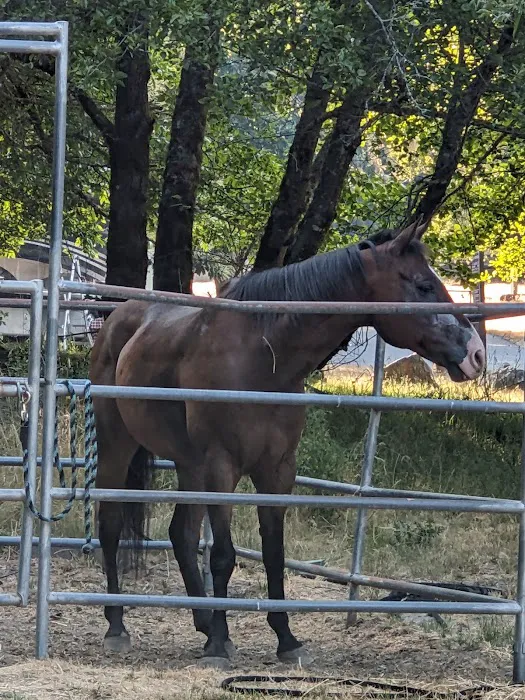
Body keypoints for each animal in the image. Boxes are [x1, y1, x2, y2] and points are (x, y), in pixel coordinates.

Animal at [89, 220, 486, 667]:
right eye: (423, 285)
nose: (476, 354)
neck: (262, 355)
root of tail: (118, 319)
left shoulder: (277, 469)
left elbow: (274, 553)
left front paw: (285, 639)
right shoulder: (222, 467)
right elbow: (223, 555)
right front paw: (219, 647)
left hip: (189, 465)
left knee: (182, 535)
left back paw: (204, 622)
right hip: (120, 444)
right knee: (110, 524)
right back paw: (118, 626)